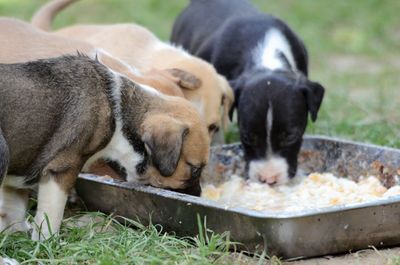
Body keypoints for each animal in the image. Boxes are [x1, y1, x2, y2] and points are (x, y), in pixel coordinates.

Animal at [0, 55, 211, 239]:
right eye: (195, 170)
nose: (199, 196)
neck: (119, 115)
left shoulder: (16, 179)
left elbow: (13, 210)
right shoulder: (61, 169)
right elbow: (50, 216)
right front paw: (46, 243)